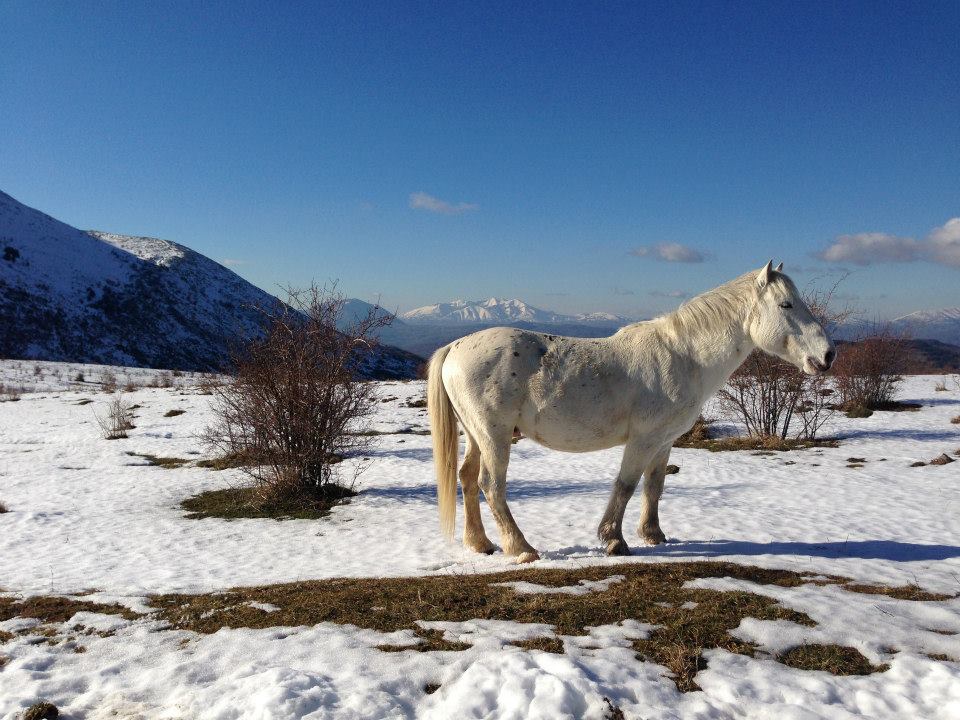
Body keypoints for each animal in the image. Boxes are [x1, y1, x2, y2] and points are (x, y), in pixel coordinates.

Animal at [428, 262, 832, 564]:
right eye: (786, 305)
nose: (828, 355)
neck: (684, 356)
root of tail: (455, 347)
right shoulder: (643, 438)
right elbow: (625, 485)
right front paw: (614, 541)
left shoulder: (664, 441)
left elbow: (654, 486)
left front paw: (653, 535)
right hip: (494, 435)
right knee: (490, 485)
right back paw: (522, 548)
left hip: (477, 434)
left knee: (467, 479)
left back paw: (481, 544)